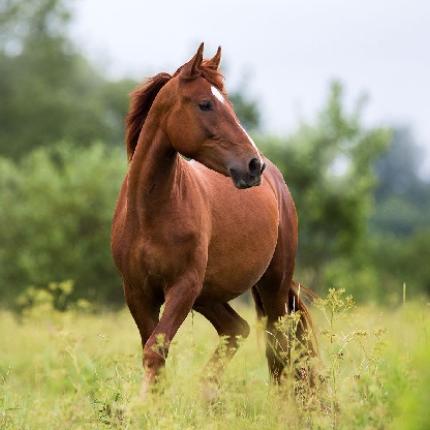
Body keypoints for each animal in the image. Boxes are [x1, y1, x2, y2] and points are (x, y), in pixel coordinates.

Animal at [110, 43, 312, 396]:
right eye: (205, 103)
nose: (252, 165)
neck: (150, 214)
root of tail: (277, 183)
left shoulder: (183, 286)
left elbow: (155, 351)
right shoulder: (138, 292)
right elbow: (153, 352)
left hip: (271, 284)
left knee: (278, 349)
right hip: (209, 295)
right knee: (237, 329)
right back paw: (208, 392)